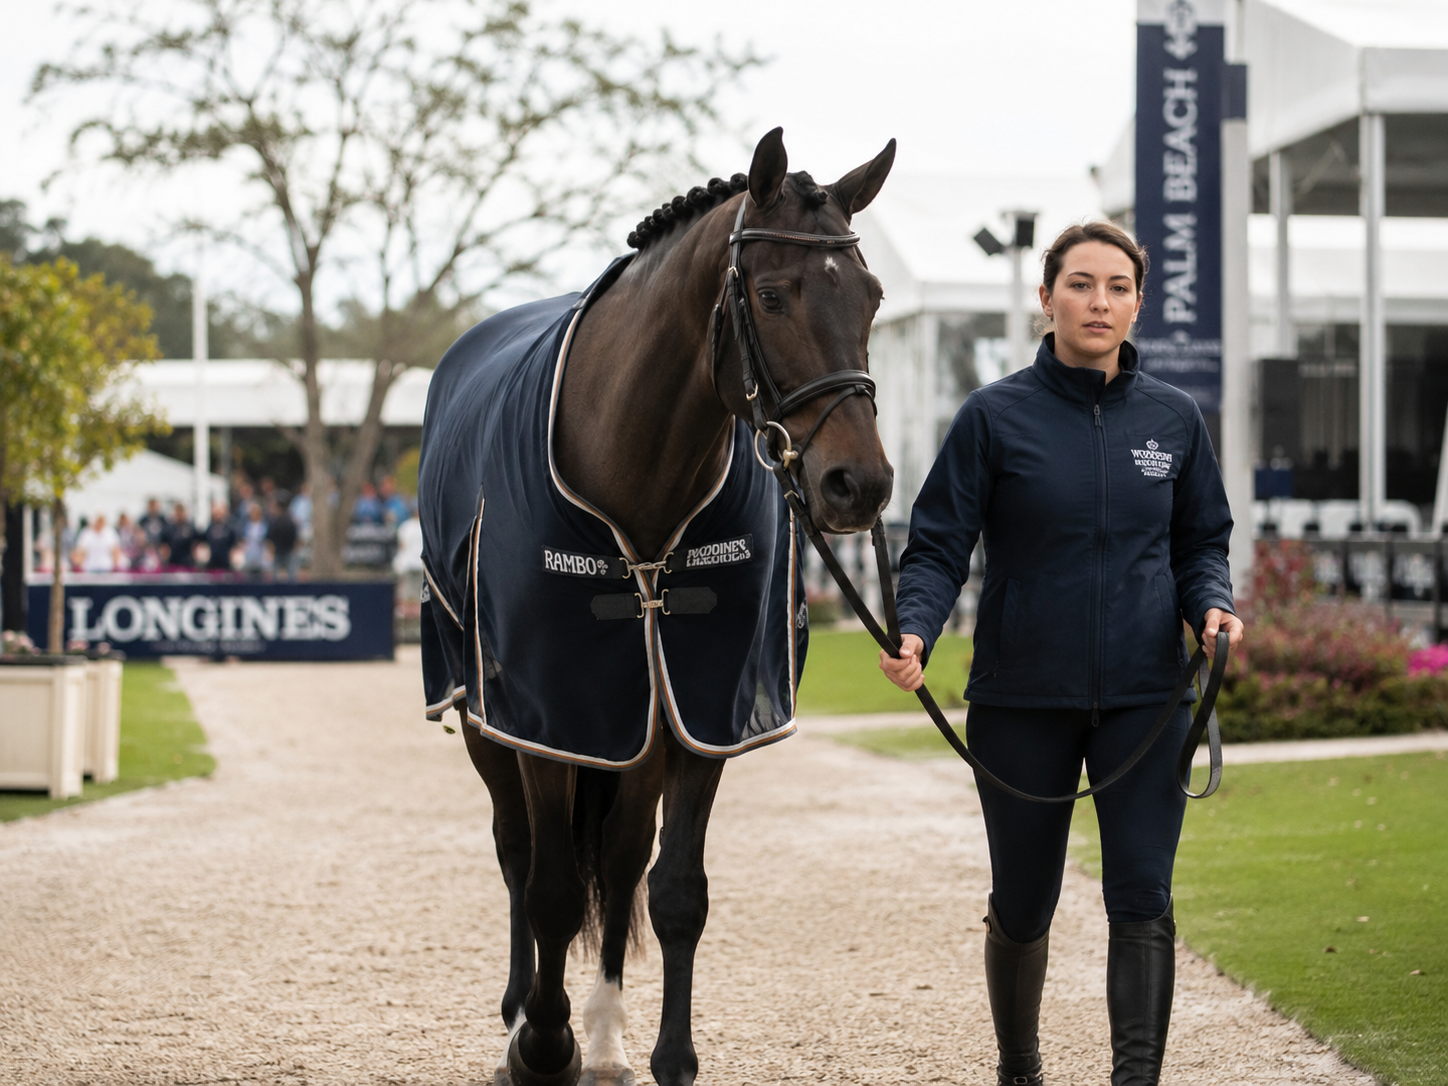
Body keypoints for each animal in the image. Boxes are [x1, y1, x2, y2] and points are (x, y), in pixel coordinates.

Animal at [417, 128, 896, 1086]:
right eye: (772, 294)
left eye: (871, 297)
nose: (857, 484)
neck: (635, 481)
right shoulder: (548, 715)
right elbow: (553, 890)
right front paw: (543, 1043)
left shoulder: (702, 710)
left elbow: (674, 891)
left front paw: (665, 1053)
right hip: (489, 718)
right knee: (518, 851)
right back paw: (523, 1014)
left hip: (639, 722)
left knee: (623, 852)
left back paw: (604, 1032)